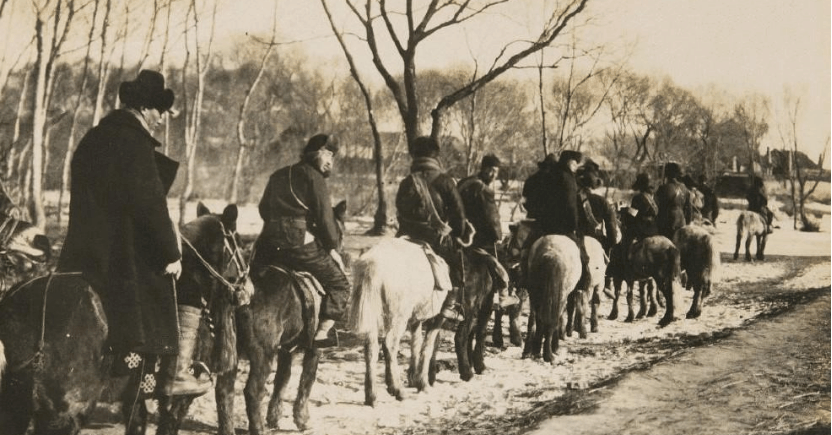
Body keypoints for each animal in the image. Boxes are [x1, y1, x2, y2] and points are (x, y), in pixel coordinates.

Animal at [0, 205, 254, 435]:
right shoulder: (179, 401)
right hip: (64, 414)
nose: (249, 290)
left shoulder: (135, 397)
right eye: (241, 247)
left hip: (17, 407)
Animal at [218, 201, 348, 435]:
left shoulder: (287, 348)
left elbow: (282, 380)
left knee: (224, 390)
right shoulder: (313, 349)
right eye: (340, 231)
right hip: (263, 354)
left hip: (230, 353)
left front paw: (274, 417)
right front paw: (302, 420)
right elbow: (306, 382)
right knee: (252, 391)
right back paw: (258, 428)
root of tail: (240, 292)